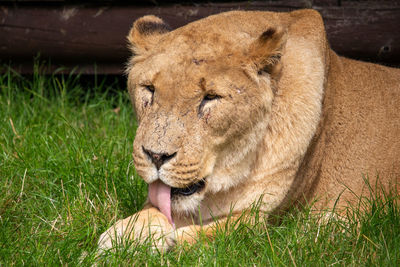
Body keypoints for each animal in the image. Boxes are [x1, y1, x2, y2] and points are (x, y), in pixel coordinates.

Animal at [97, 8, 400, 251]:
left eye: (211, 97)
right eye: (149, 89)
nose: (156, 156)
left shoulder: (272, 222)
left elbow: (224, 231)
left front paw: (157, 245)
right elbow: (151, 211)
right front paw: (126, 236)